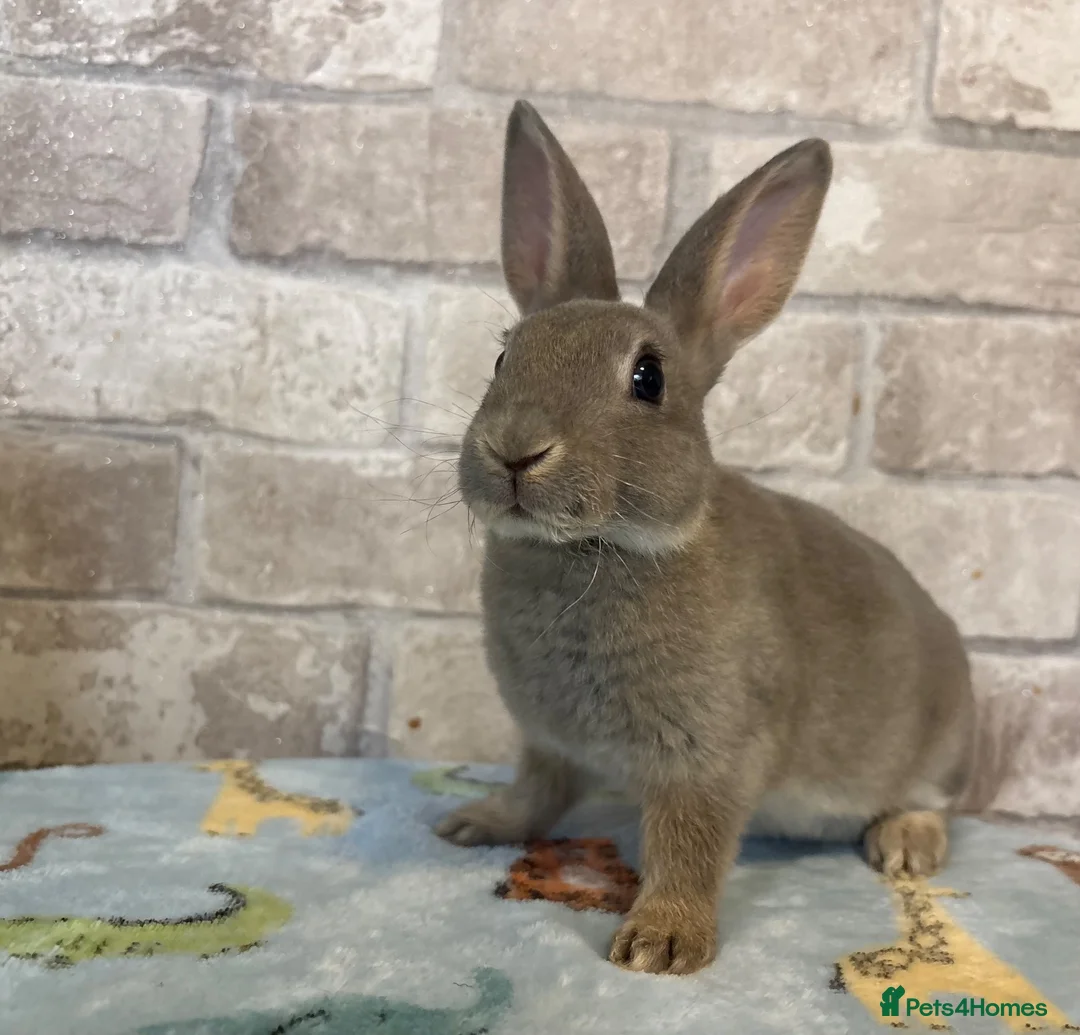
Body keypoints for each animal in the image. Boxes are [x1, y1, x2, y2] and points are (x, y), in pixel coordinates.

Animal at [435, 100, 976, 976]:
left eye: (648, 378)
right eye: (503, 357)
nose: (514, 449)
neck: (600, 549)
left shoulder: (708, 753)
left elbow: (690, 844)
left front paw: (661, 942)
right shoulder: (549, 741)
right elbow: (539, 791)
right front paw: (478, 822)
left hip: (942, 740)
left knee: (935, 799)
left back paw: (904, 843)